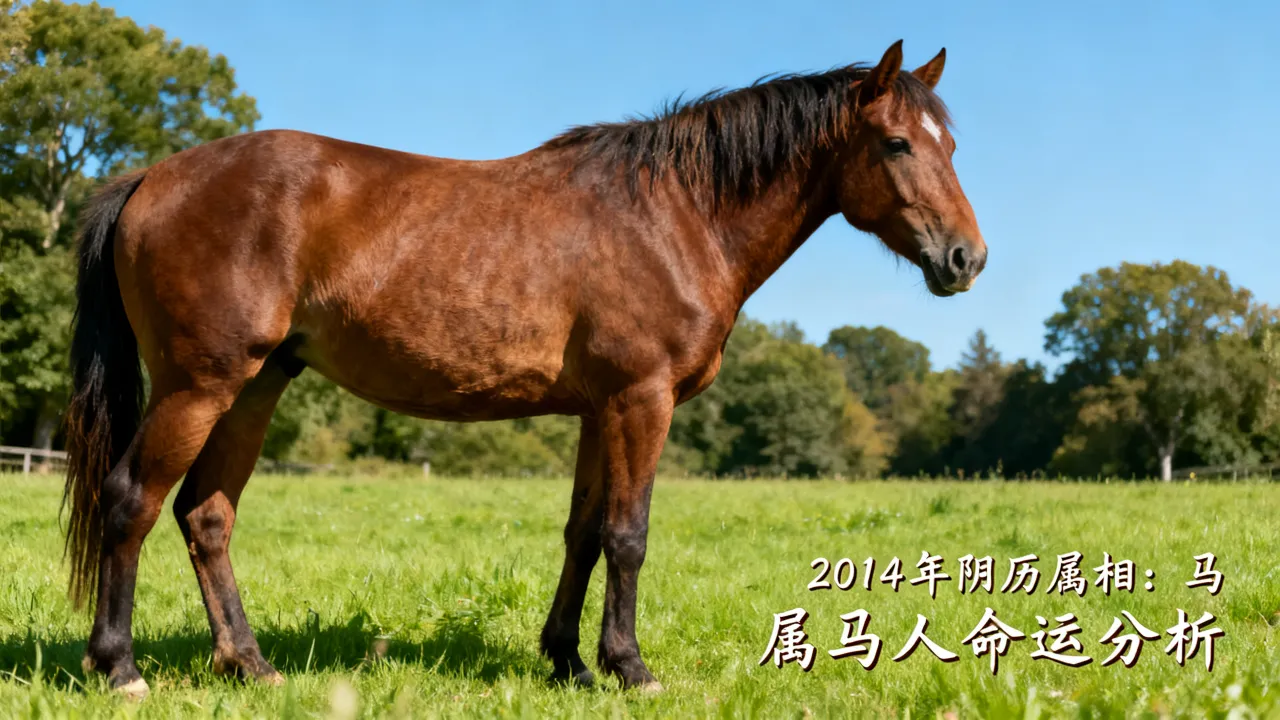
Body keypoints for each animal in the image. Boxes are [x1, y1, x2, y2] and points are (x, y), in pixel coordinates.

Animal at [61, 39, 985, 698]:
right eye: (896, 143)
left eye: (952, 144)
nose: (965, 259)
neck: (675, 214)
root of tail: (150, 177)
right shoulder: (642, 400)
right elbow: (628, 535)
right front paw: (631, 668)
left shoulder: (599, 410)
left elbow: (584, 532)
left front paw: (568, 662)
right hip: (199, 385)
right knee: (132, 500)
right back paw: (119, 668)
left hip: (254, 387)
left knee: (206, 514)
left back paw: (248, 664)